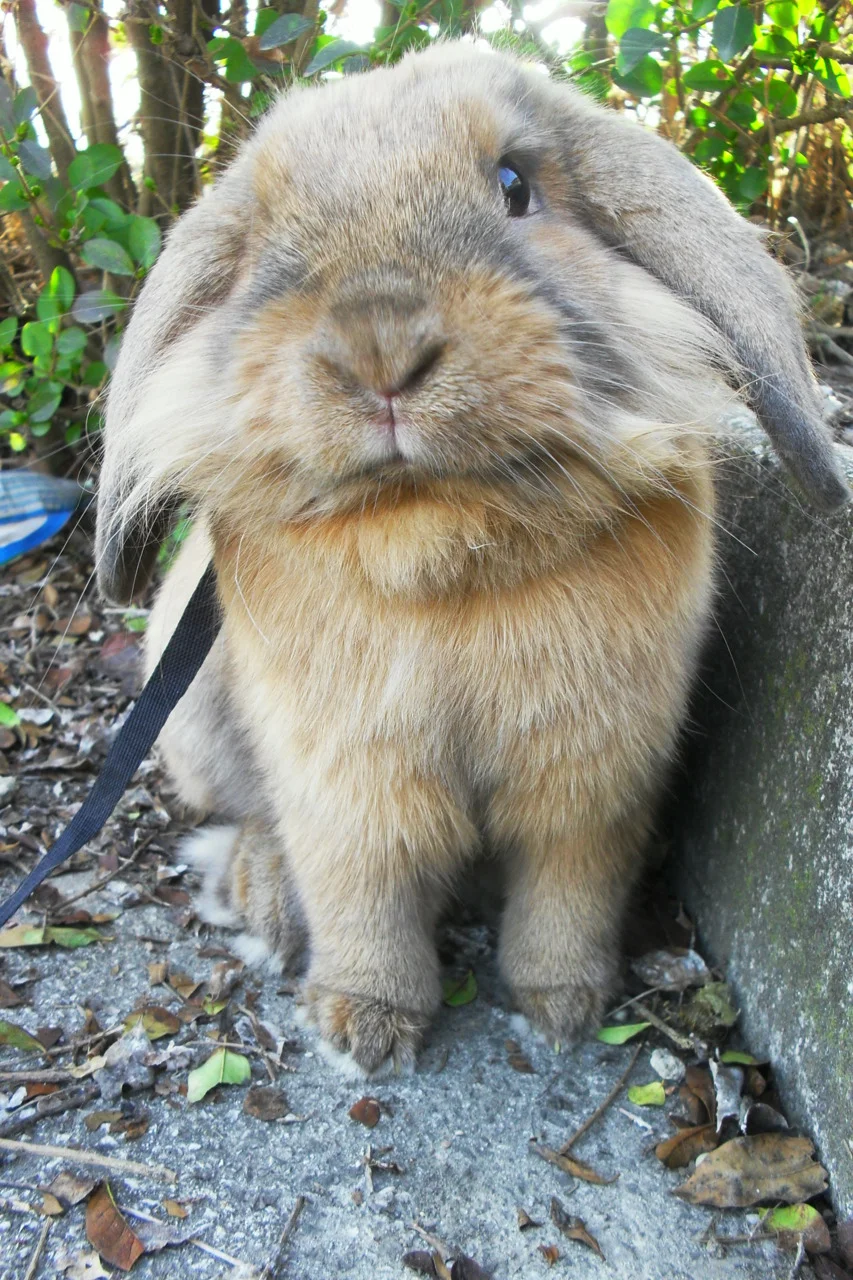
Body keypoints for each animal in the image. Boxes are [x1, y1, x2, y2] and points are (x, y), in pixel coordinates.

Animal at [95, 43, 848, 1073]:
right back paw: (265, 896)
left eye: (514, 183)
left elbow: (570, 889)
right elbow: (361, 893)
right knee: (250, 818)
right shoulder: (347, 781)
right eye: (260, 241)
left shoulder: (593, 776)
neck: (441, 534)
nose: (377, 344)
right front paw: (364, 1025)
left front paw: (563, 1006)